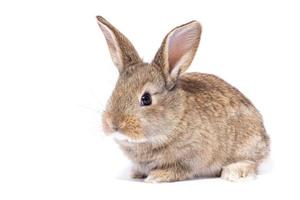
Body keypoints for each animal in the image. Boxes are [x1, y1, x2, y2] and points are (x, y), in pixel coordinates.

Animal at [97, 16, 270, 183]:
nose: (114, 124)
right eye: (114, 91)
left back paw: (234, 172)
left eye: (146, 99)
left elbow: (181, 169)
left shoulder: (193, 156)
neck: (176, 120)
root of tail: (265, 139)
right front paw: (134, 174)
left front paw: (158, 176)